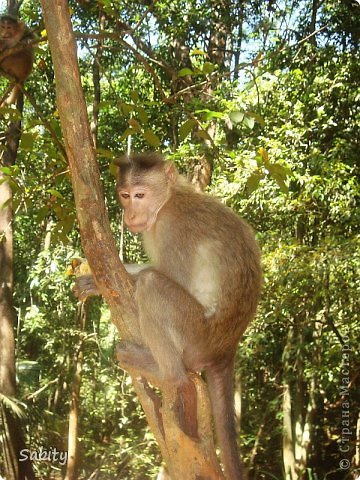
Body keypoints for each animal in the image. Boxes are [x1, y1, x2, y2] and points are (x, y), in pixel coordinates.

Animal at [75, 155, 262, 480]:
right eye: (125, 195)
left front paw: (101, 282)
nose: (130, 213)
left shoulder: (171, 227)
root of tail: (227, 348)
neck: (168, 200)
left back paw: (165, 372)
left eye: (140, 195)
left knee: (152, 286)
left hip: (196, 335)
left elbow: (166, 276)